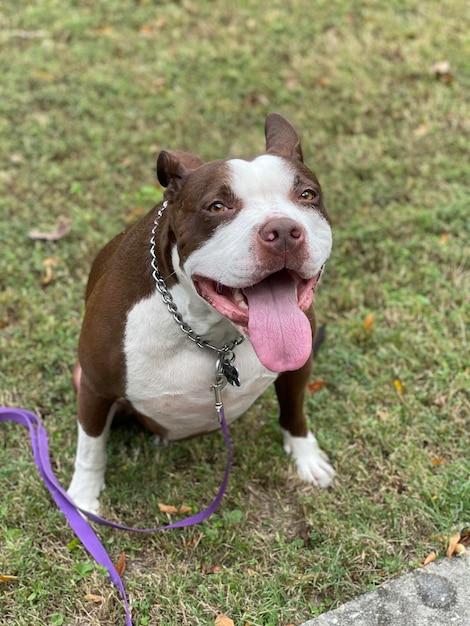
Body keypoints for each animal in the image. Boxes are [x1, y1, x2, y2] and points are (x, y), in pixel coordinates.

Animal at [68, 112, 336, 512]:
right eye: (217, 207)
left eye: (307, 195)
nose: (284, 230)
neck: (211, 334)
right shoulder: (95, 388)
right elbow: (91, 448)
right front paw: (83, 500)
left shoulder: (297, 365)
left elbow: (294, 410)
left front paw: (306, 456)